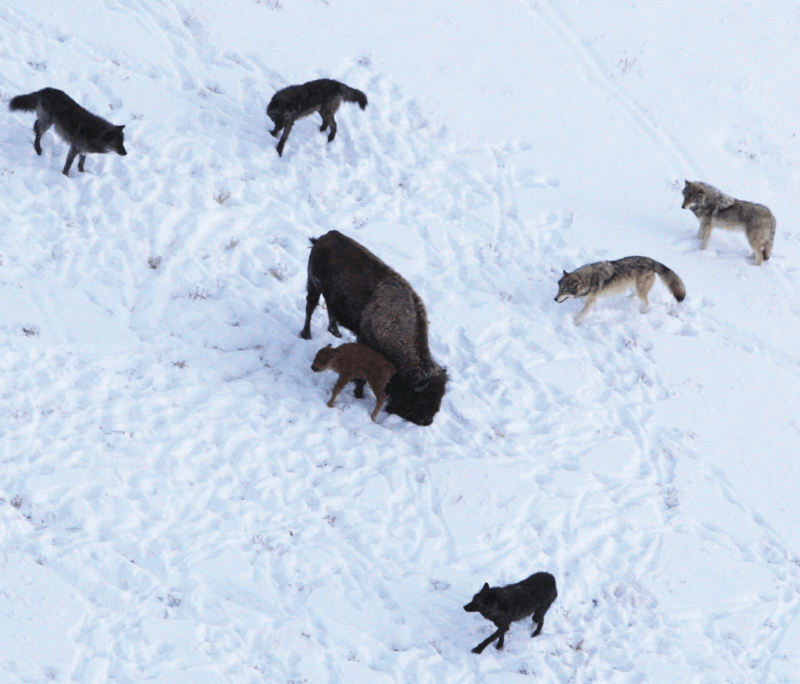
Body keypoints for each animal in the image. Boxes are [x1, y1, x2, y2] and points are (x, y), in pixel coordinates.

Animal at [555, 256, 686, 325]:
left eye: (565, 291)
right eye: (559, 288)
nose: (555, 299)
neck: (586, 280)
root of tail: (652, 261)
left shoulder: (591, 302)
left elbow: (581, 314)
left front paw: (573, 324)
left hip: (641, 292)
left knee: (647, 303)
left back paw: (641, 312)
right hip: (635, 288)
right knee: (634, 295)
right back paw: (626, 298)